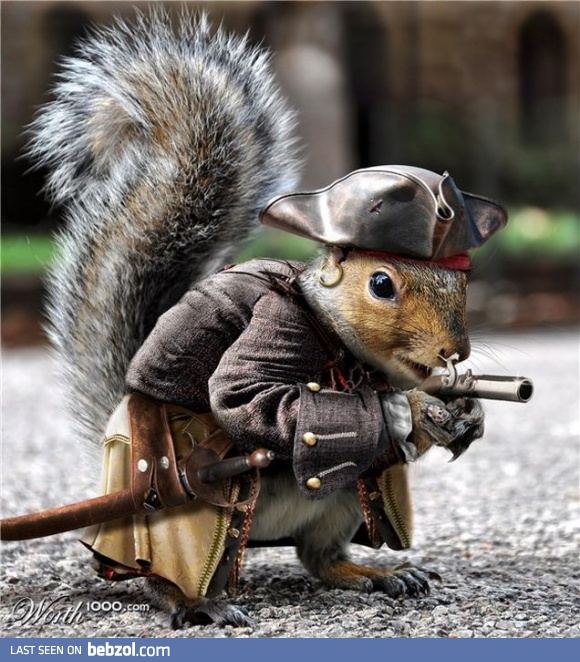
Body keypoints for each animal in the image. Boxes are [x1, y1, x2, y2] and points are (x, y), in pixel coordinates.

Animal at [26, 10, 505, 628]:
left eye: (463, 282)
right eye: (382, 284)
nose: (455, 352)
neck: (344, 349)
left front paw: (465, 411)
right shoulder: (274, 330)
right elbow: (249, 399)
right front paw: (412, 407)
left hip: (339, 503)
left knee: (320, 557)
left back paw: (379, 573)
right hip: (182, 509)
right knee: (166, 572)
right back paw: (195, 601)